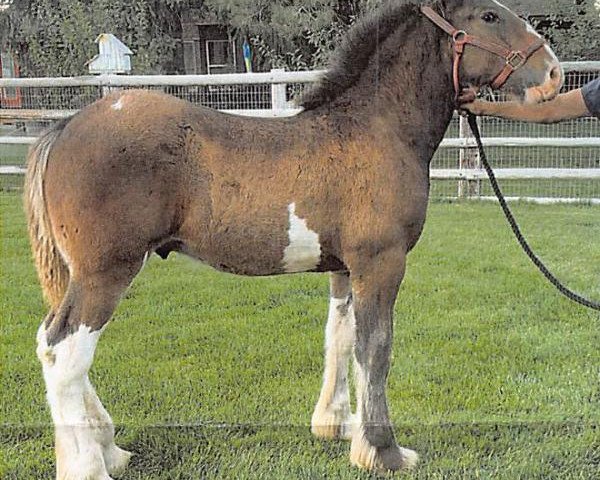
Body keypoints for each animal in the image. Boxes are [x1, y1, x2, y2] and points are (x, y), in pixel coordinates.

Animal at [25, 0, 564, 476]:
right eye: (490, 15)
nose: (554, 74)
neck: (377, 130)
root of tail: (66, 127)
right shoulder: (382, 262)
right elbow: (376, 348)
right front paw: (383, 452)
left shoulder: (345, 268)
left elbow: (340, 338)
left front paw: (338, 426)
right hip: (106, 271)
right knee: (63, 351)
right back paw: (89, 466)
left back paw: (109, 448)